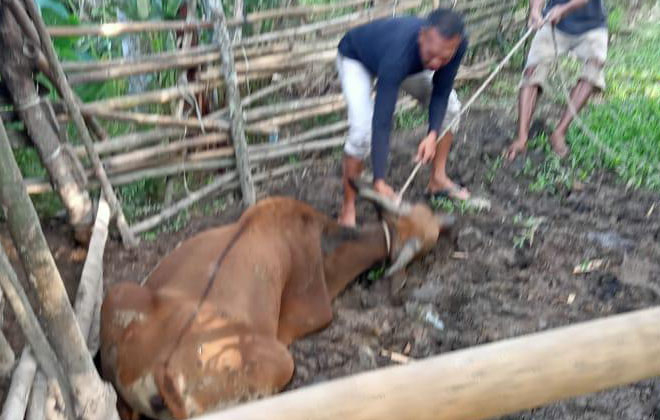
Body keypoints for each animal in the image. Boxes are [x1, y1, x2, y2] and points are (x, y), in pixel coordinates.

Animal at [100, 181, 456, 420]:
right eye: (428, 238)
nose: (447, 223)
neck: (325, 244)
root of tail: (161, 369)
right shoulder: (312, 312)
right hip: (281, 363)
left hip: (119, 292)